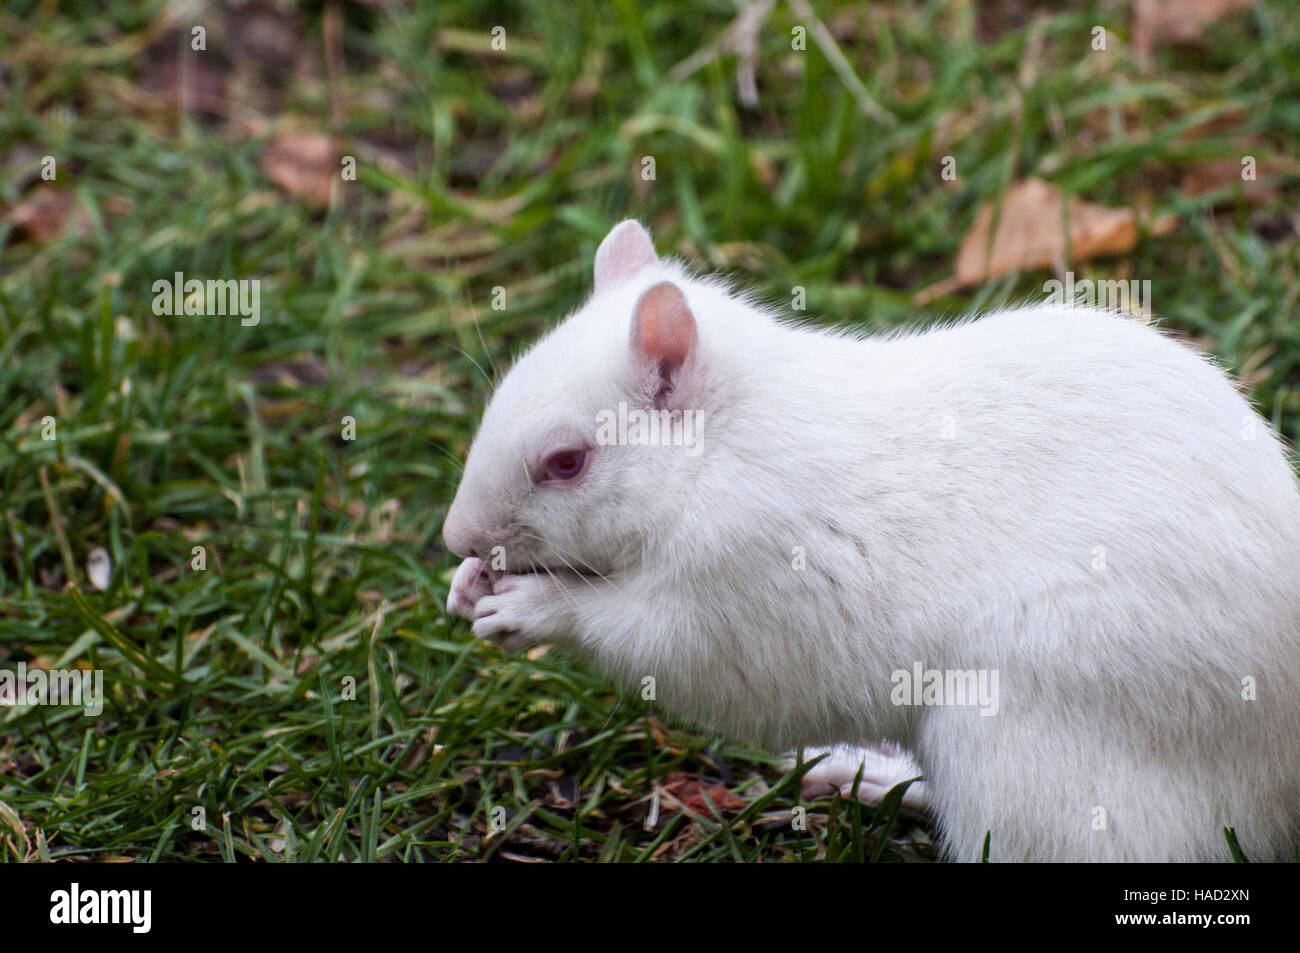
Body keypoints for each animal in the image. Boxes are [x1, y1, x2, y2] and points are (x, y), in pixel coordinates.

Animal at [439, 219, 1300, 858]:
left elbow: (670, 648)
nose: (455, 535)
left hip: (1030, 749)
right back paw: (876, 774)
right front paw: (468, 583)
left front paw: (532, 610)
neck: (724, 453)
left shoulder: (749, 585)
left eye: (567, 462)